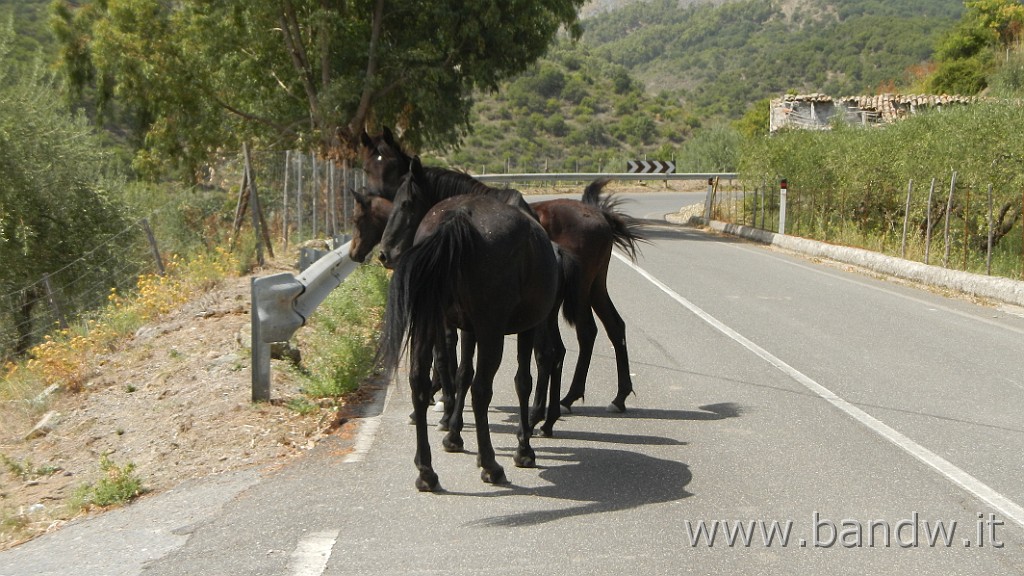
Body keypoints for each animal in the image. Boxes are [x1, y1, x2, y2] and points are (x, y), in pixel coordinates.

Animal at [374, 159, 577, 487]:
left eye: (406, 203)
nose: (384, 253)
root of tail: (457, 219)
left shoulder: (468, 328)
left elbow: (461, 373)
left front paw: (454, 432)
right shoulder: (516, 327)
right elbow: (518, 380)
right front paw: (522, 449)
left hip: (433, 323)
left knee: (419, 380)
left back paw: (427, 470)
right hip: (496, 331)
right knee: (492, 384)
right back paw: (498, 460)